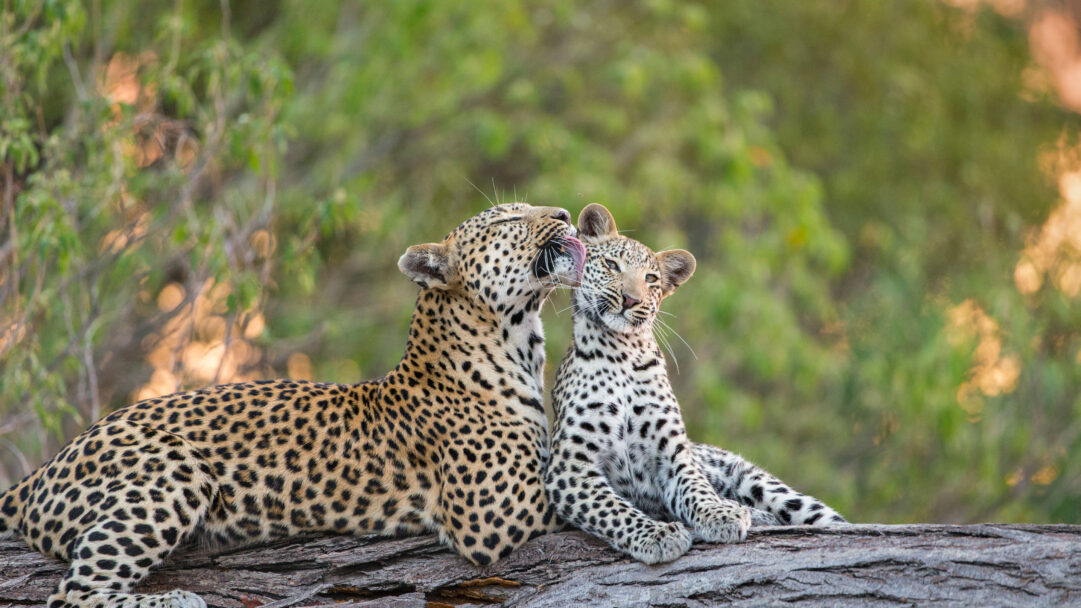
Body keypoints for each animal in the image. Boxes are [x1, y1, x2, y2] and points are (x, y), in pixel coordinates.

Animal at [0, 202, 585, 608]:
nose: (563, 213)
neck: (518, 345)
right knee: (72, 594)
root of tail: (39, 472)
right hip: (173, 468)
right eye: (510, 217)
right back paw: (177, 599)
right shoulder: (498, 515)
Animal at [545, 203, 846, 564]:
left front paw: (720, 514)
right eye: (612, 265)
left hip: (762, 483)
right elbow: (613, 510)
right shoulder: (570, 467)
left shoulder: (673, 452)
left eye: (650, 279)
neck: (620, 352)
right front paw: (657, 535)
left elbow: (696, 487)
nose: (630, 299)